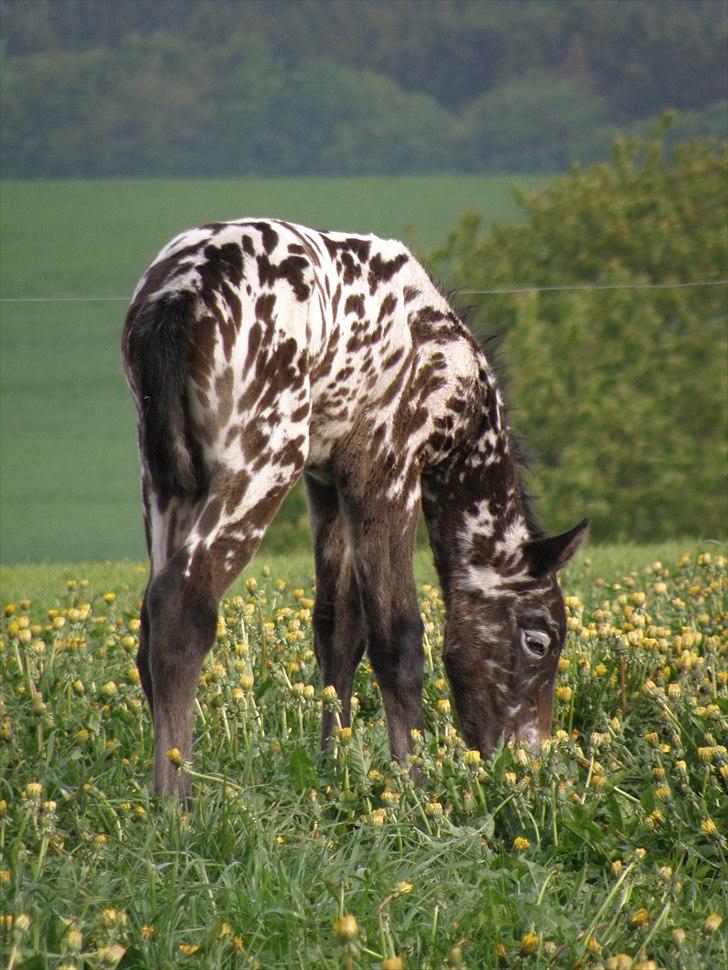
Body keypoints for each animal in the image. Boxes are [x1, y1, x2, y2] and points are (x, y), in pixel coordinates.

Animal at [119, 217, 584, 796]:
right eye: (539, 640)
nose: (526, 760)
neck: (450, 372)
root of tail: (179, 294)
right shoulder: (385, 469)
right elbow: (398, 639)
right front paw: (414, 783)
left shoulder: (326, 483)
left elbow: (337, 630)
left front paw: (333, 768)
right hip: (262, 463)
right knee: (182, 609)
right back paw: (176, 799)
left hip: (164, 482)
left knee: (150, 625)